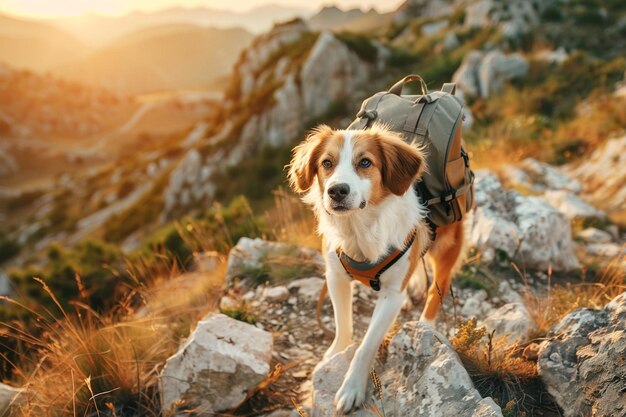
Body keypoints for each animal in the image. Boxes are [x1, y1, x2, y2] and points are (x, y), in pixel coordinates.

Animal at [288, 122, 464, 412]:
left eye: (365, 162)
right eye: (327, 163)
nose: (337, 191)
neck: (359, 228)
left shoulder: (391, 296)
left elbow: (366, 344)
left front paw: (352, 387)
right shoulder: (336, 277)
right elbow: (343, 326)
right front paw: (334, 355)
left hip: (448, 243)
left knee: (438, 287)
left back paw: (425, 325)